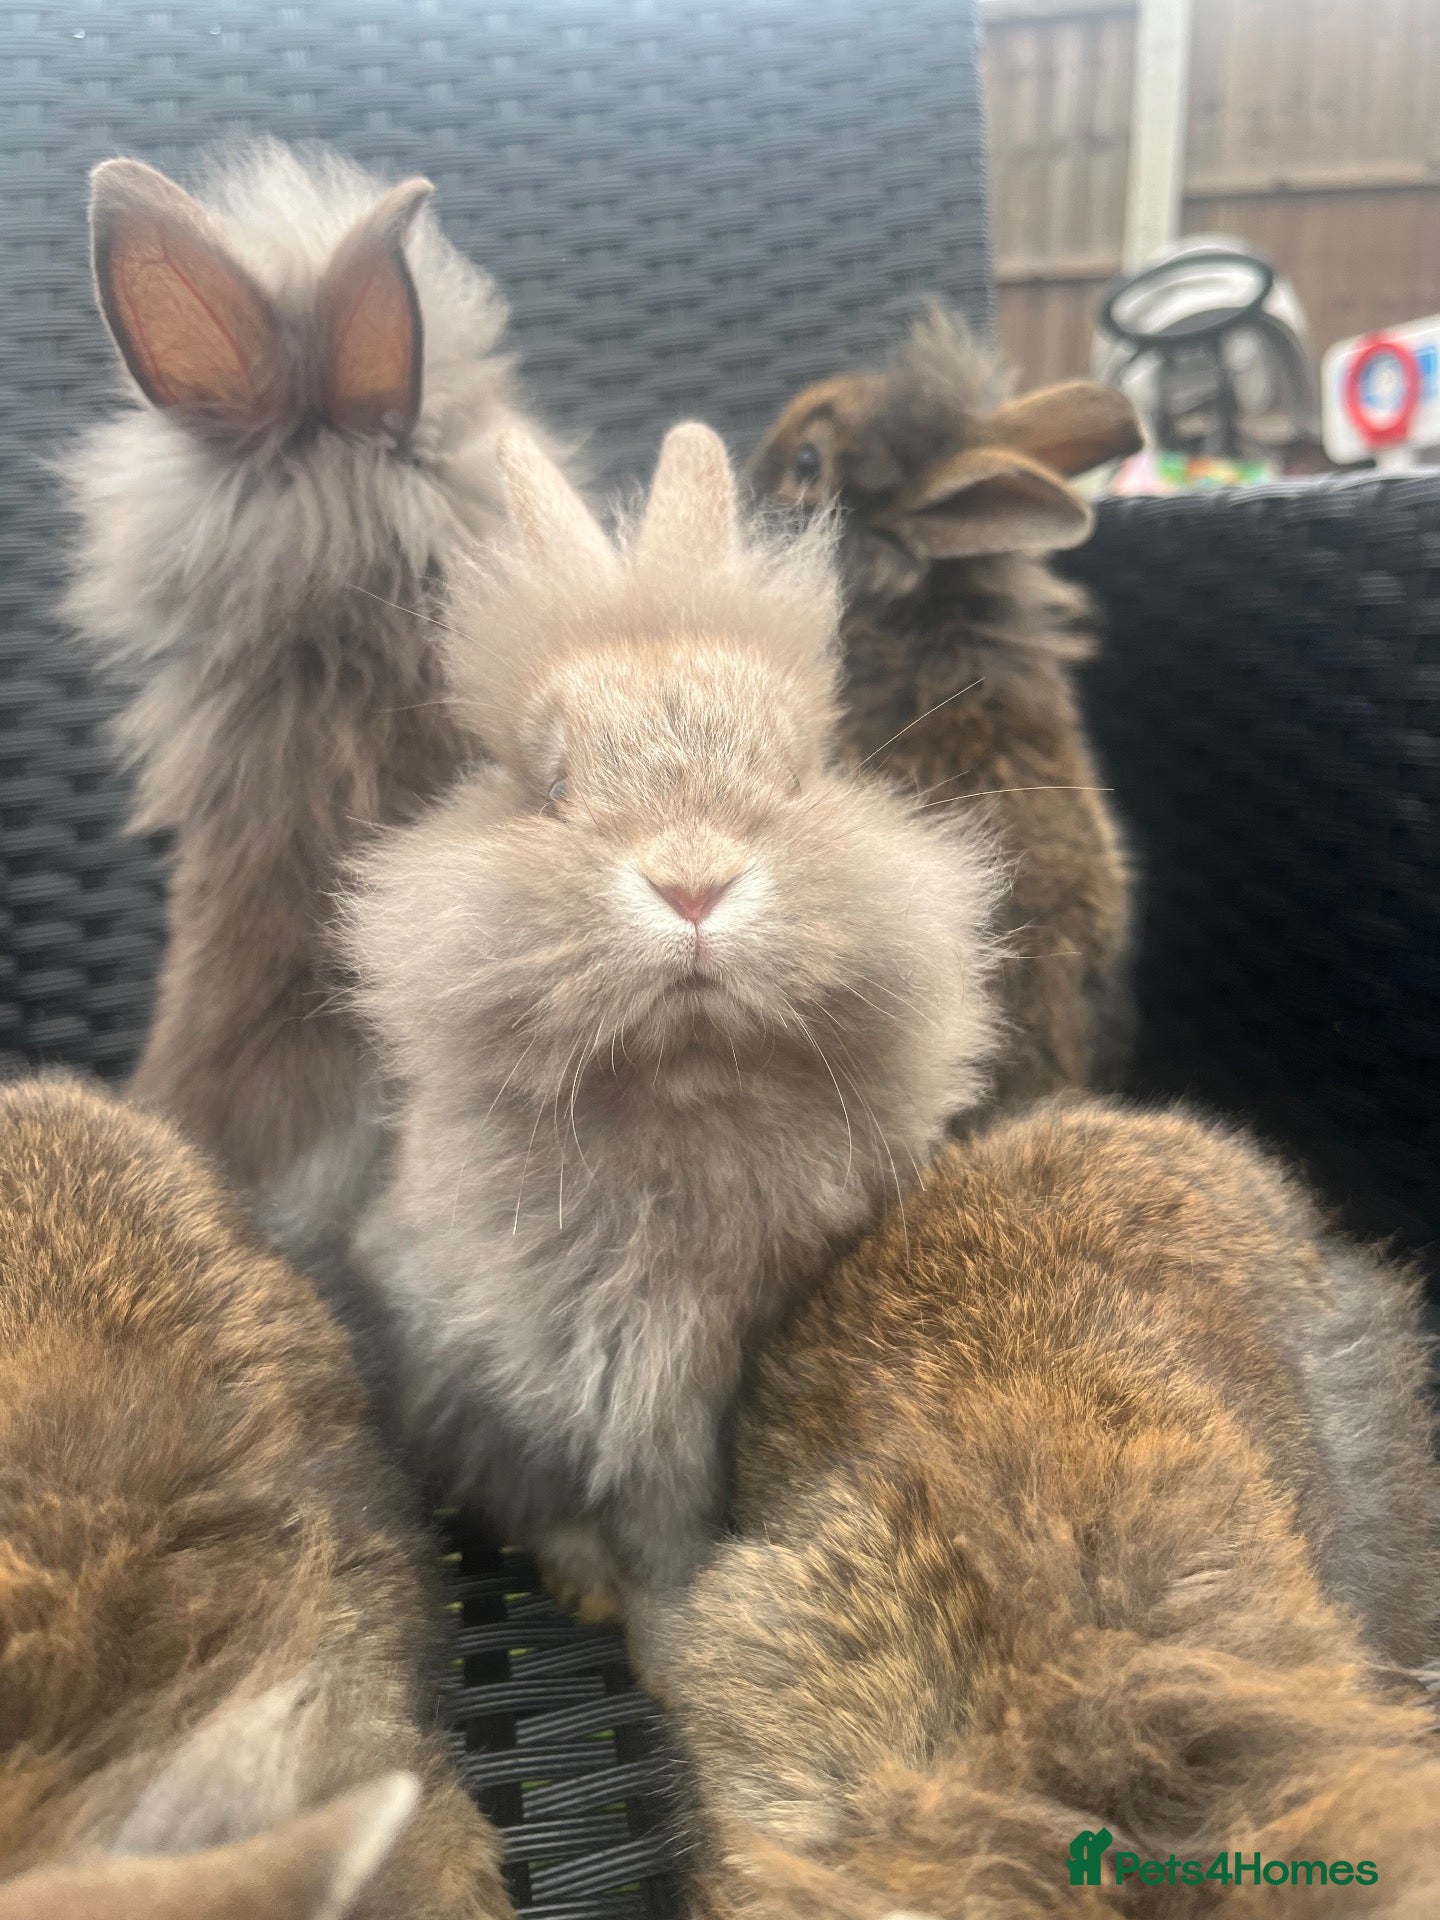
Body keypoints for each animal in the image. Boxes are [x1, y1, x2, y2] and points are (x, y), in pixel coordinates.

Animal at [342, 421, 1001, 1620]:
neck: (690, 1084)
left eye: (796, 773)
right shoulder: (616, 1377)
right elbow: (654, 1531)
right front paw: (663, 1629)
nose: (693, 886)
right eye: (551, 791)